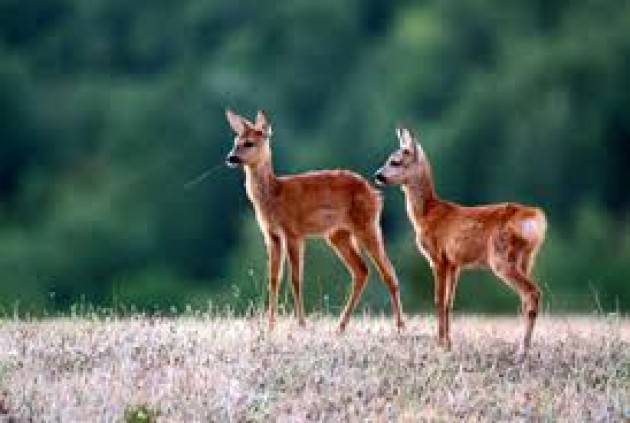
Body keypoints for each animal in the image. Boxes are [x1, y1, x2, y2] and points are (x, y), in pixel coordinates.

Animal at [226, 110, 404, 334]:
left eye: (249, 143)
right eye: (235, 141)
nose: (231, 158)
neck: (275, 196)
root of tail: (375, 193)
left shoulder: (293, 232)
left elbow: (296, 279)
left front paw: (301, 323)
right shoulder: (271, 234)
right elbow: (273, 279)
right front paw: (270, 325)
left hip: (367, 224)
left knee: (388, 271)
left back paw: (400, 326)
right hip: (337, 234)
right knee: (361, 270)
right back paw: (340, 326)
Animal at [376, 126, 548, 358]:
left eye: (395, 161)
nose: (377, 175)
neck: (427, 215)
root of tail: (534, 217)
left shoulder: (437, 257)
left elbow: (438, 300)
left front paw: (439, 343)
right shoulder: (454, 263)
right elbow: (449, 302)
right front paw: (448, 344)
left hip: (501, 257)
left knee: (532, 293)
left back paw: (522, 350)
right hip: (526, 258)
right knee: (525, 298)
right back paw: (524, 347)